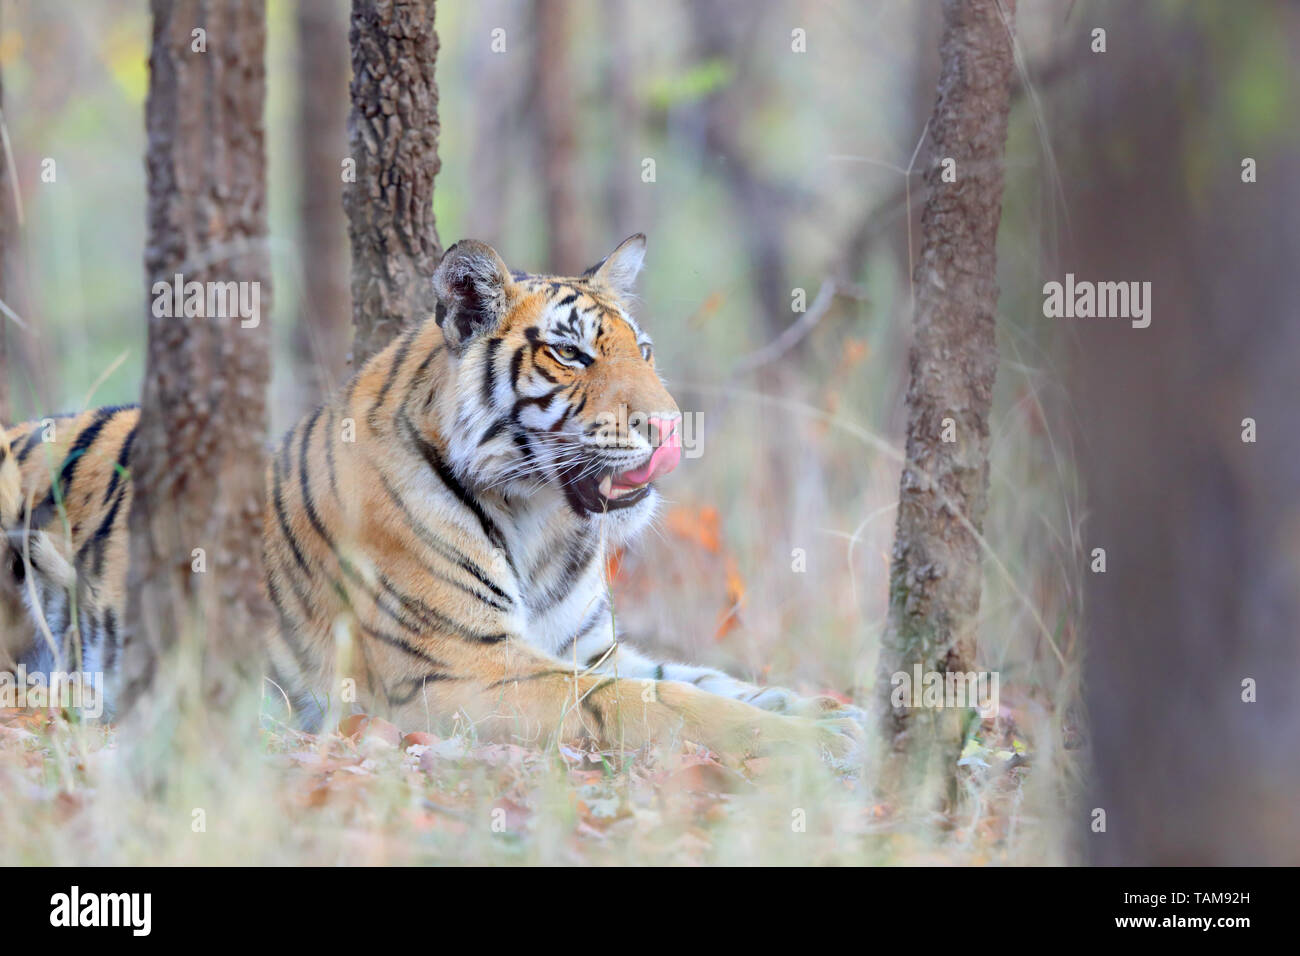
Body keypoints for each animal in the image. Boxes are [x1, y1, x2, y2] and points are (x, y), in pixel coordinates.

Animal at [5, 235, 868, 759]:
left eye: (644, 351)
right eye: (571, 354)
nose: (668, 427)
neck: (546, 525)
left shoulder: (587, 646)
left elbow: (706, 680)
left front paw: (839, 712)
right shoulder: (463, 669)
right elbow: (660, 703)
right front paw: (814, 747)